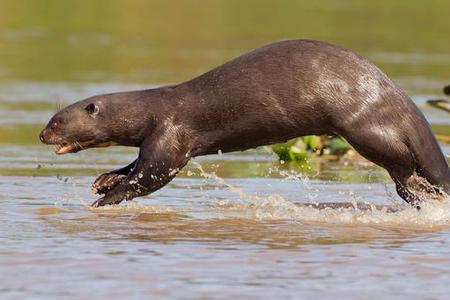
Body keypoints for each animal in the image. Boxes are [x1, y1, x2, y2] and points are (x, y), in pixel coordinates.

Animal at [40, 39, 448, 207]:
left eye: (57, 121)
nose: (42, 134)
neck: (154, 109)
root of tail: (396, 96)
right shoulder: (155, 139)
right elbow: (135, 164)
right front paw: (104, 180)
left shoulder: (172, 136)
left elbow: (152, 175)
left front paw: (107, 198)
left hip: (364, 128)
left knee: (402, 164)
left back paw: (420, 189)